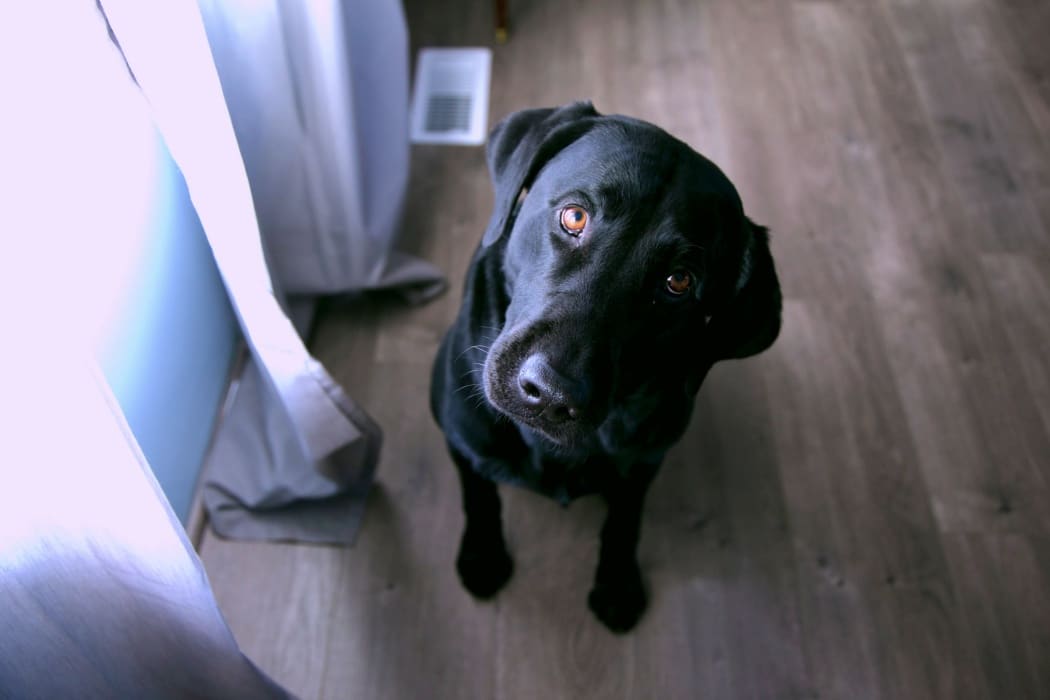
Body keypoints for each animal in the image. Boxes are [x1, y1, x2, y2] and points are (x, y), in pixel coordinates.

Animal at [429, 102, 782, 633]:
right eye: (575, 216)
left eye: (678, 281)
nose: (550, 393)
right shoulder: (460, 432)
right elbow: (479, 491)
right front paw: (483, 555)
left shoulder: (646, 460)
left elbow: (625, 519)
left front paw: (617, 583)